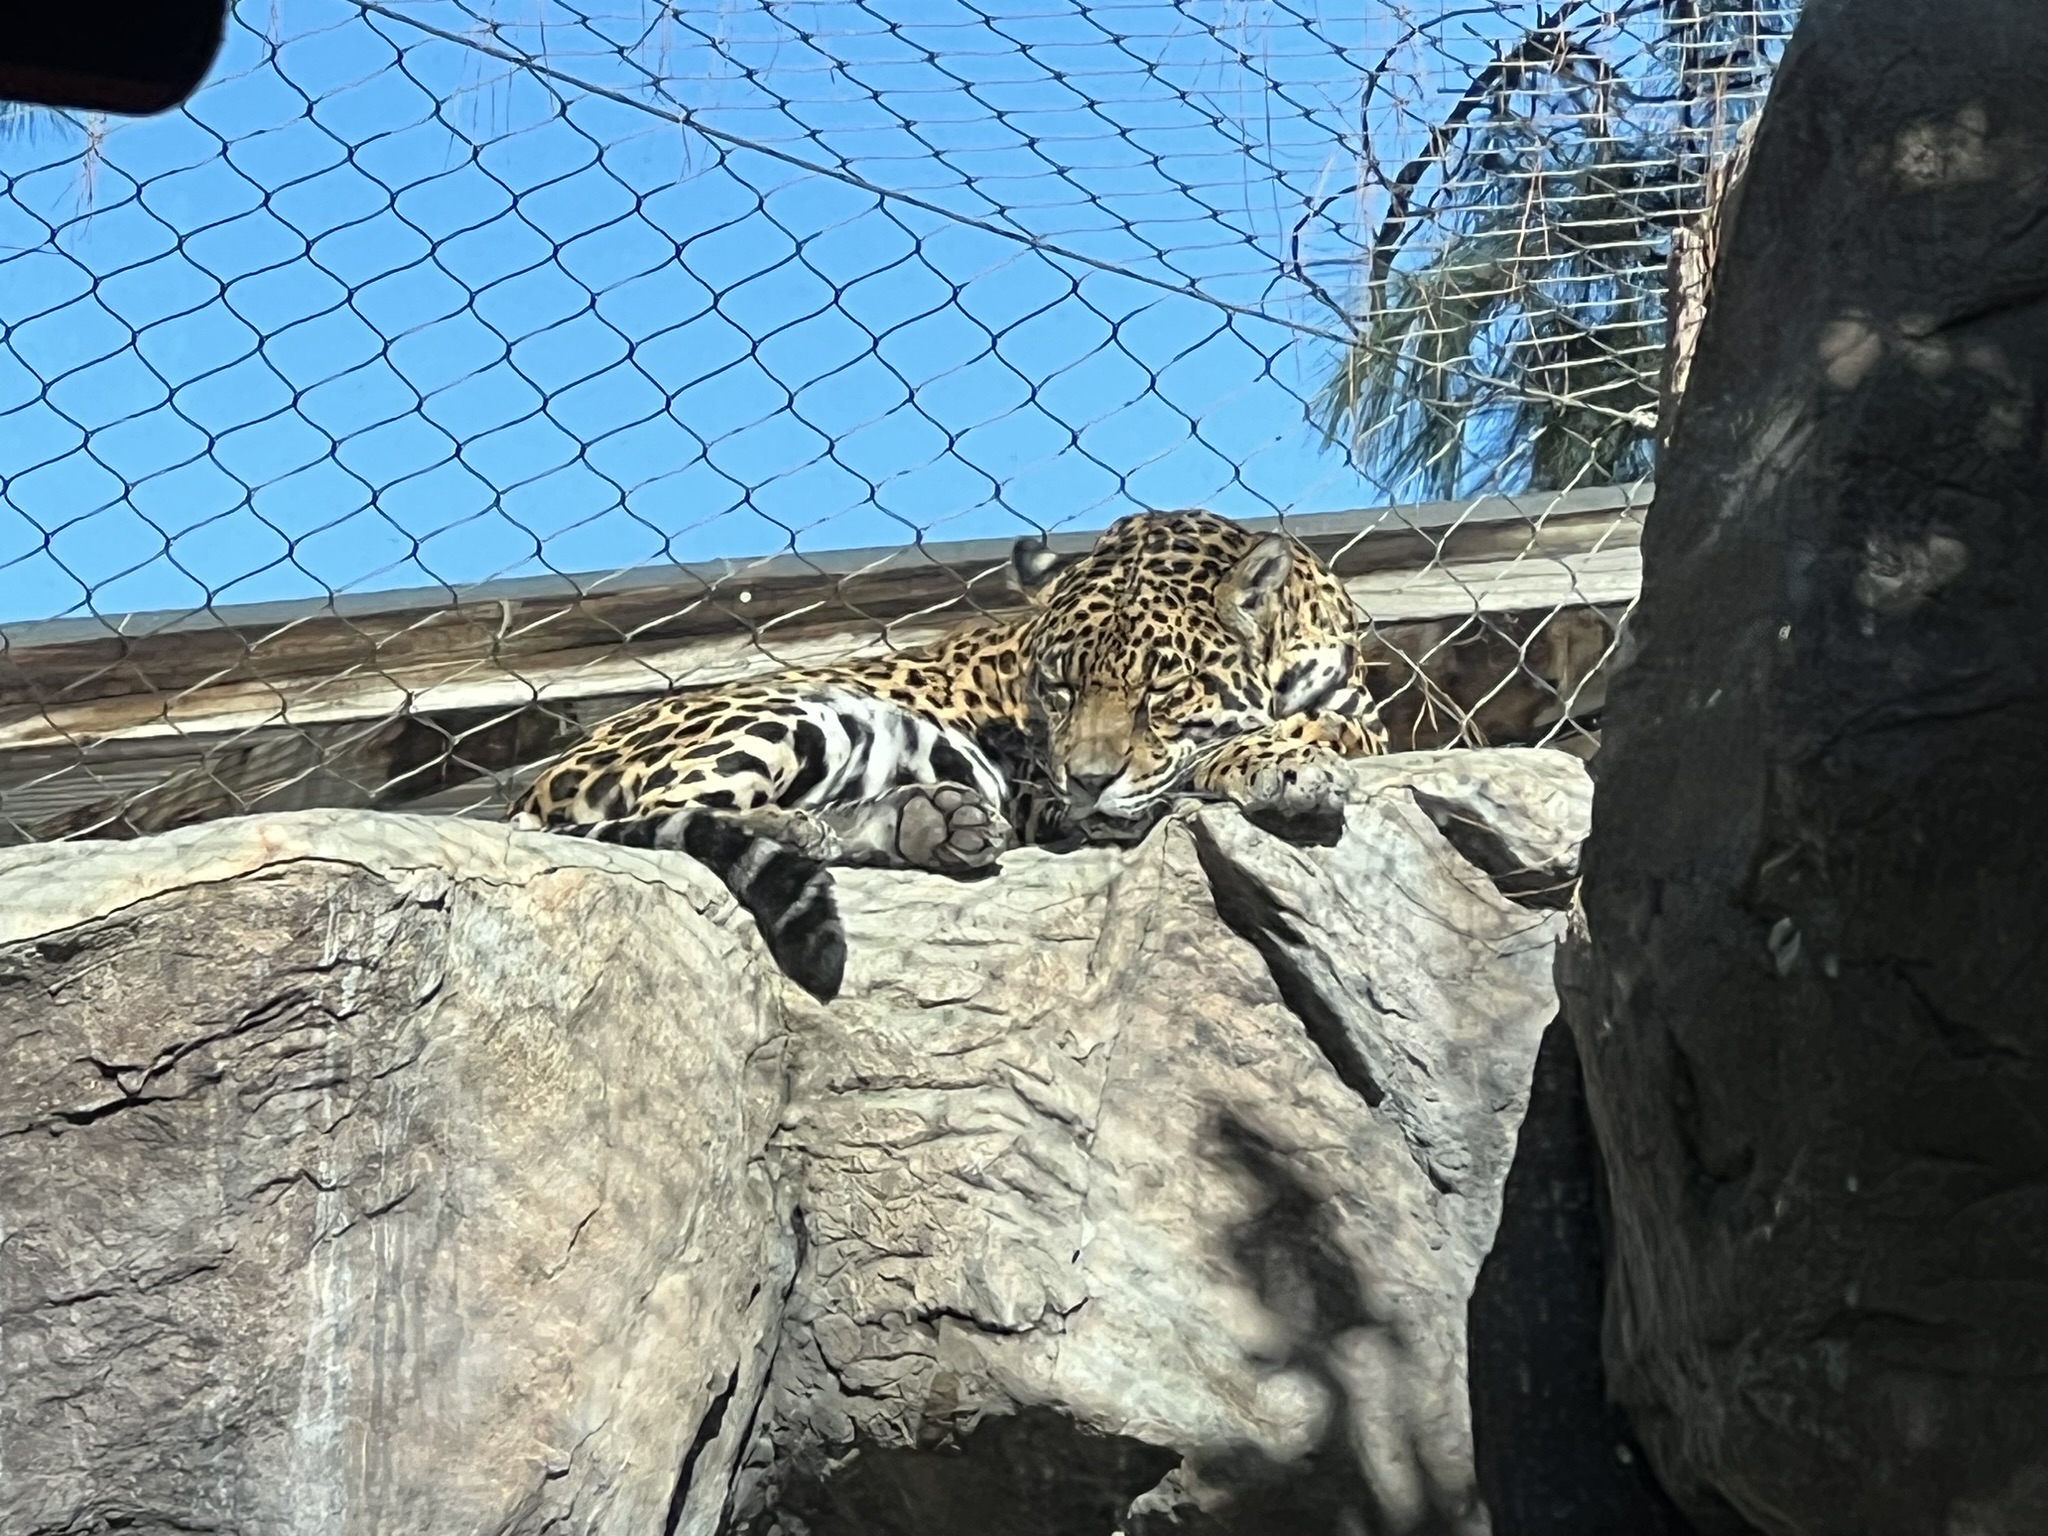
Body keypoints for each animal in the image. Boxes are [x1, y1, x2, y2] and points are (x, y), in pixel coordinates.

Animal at [510, 509, 1388, 1001]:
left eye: (1158, 691)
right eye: (1058, 688)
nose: (1088, 783)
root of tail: (529, 796)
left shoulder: (1362, 713)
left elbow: (1320, 729)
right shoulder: (1039, 786)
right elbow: (1228, 751)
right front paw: (1281, 763)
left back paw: (932, 822)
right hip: (787, 715)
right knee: (683, 814)